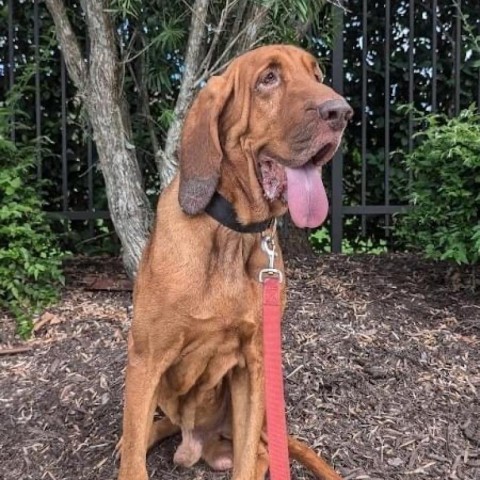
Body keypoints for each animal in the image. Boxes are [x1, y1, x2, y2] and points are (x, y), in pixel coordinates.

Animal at [119, 46, 352, 480]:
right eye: (268, 79)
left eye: (317, 75)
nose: (342, 112)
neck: (231, 235)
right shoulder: (146, 359)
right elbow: (132, 465)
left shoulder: (253, 364)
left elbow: (246, 460)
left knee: (260, 450)